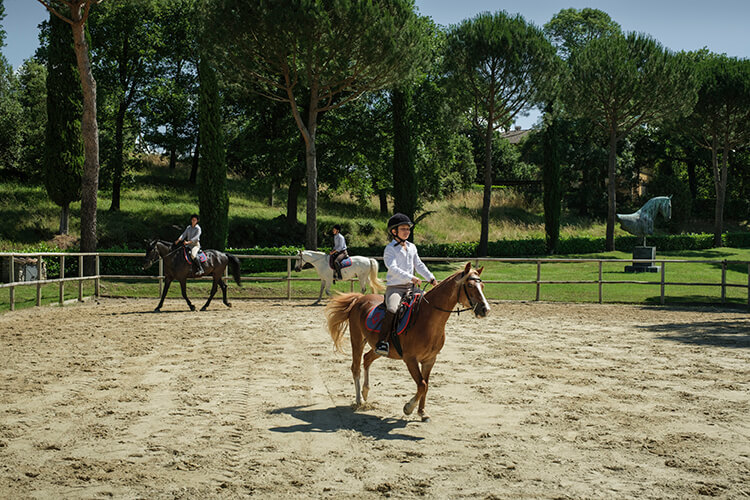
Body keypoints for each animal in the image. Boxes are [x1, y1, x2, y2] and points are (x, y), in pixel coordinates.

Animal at [324, 262, 490, 422]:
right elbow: (422, 385)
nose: (485, 309)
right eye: (470, 285)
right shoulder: (410, 359)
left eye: (482, 286)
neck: (428, 318)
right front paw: (408, 408)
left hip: (379, 348)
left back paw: (365, 392)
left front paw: (422, 413)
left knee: (367, 358)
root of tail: (359, 298)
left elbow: (426, 385)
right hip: (357, 340)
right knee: (356, 367)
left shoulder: (430, 360)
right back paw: (359, 400)